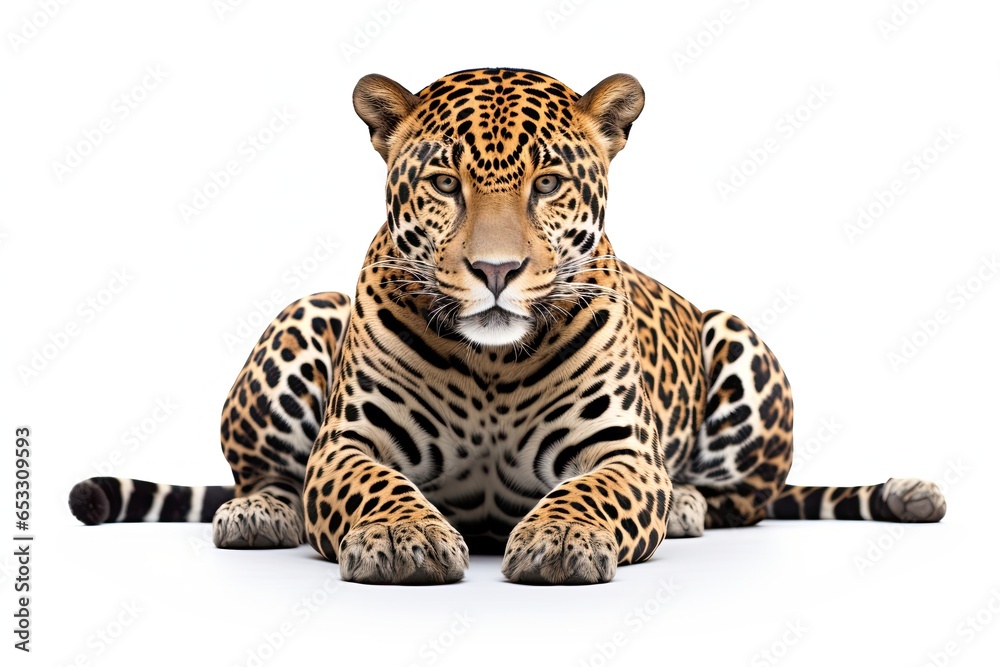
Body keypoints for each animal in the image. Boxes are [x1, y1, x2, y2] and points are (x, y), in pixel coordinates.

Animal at [69, 68, 947, 585]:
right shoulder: (349, 442)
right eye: (444, 183)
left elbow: (596, 490)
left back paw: (689, 504)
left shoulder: (621, 452)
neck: (491, 368)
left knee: (745, 498)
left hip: (741, 338)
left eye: (548, 183)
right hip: (303, 312)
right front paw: (403, 537)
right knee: (262, 472)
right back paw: (257, 511)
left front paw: (561, 538)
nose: (496, 271)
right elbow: (366, 482)